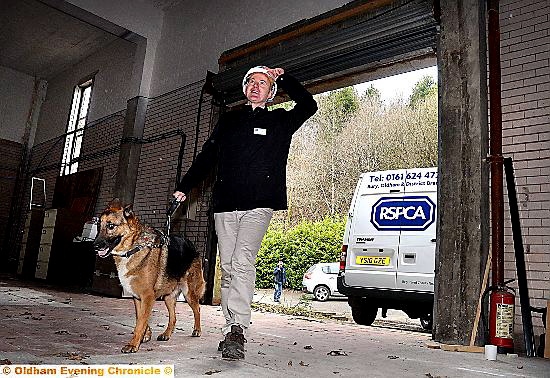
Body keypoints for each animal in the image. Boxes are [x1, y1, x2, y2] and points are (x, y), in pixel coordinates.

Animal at [94, 199, 206, 352]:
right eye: (99, 226)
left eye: (111, 226)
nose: (94, 246)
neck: (133, 248)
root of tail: (193, 247)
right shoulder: (138, 297)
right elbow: (140, 317)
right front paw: (146, 335)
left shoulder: (148, 296)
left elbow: (140, 322)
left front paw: (133, 344)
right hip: (168, 297)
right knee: (173, 317)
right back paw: (166, 334)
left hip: (189, 293)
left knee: (198, 309)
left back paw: (197, 330)